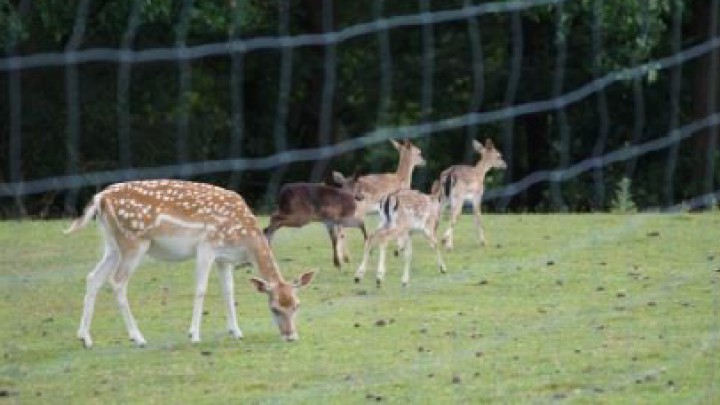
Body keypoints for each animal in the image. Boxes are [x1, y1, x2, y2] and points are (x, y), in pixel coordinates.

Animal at [64, 180, 316, 348]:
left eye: (297, 305)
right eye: (274, 308)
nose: (291, 335)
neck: (245, 240)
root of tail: (100, 198)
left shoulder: (225, 258)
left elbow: (228, 291)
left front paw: (236, 332)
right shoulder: (206, 247)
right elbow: (201, 289)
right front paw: (194, 335)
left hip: (112, 245)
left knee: (93, 277)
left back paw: (85, 338)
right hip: (134, 242)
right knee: (117, 282)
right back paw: (138, 337)